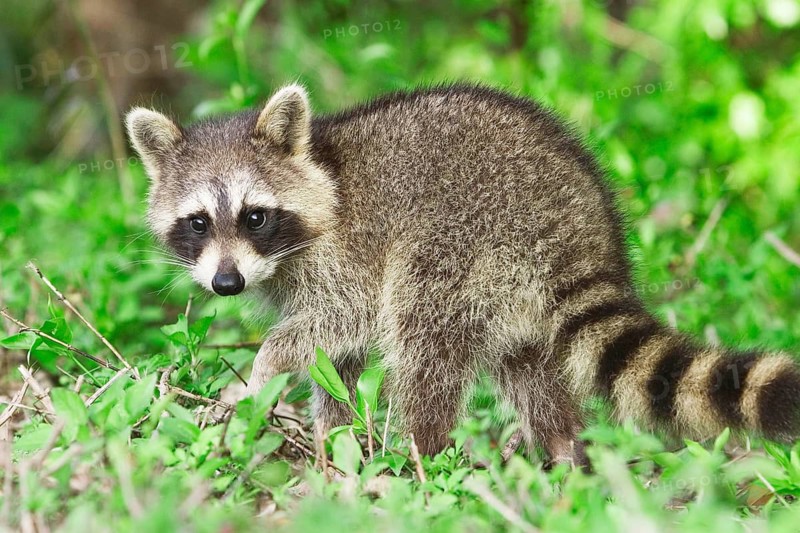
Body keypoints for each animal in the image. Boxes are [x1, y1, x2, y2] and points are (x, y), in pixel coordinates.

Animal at [126, 83, 800, 463]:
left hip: (466, 242)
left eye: (255, 216)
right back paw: (564, 450)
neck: (322, 168)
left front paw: (264, 367)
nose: (226, 285)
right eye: (197, 223)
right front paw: (333, 439)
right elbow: (334, 358)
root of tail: (582, 226)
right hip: (511, 290)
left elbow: (341, 321)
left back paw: (422, 456)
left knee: (423, 344)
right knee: (527, 368)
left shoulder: (348, 255)